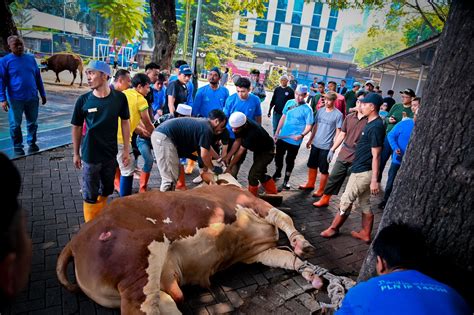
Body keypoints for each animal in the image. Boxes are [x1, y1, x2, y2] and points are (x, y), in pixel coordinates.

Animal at [55, 184, 322, 314]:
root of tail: (75, 241)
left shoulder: (258, 253)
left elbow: (286, 258)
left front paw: (311, 273)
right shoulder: (253, 203)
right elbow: (284, 217)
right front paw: (303, 244)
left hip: (144, 285)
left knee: (162, 302)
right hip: (137, 265)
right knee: (142, 309)